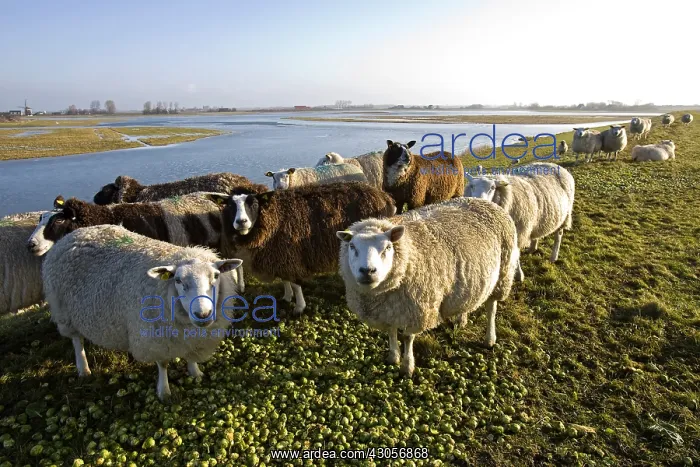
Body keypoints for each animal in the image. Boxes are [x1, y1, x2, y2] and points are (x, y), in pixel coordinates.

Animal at [42, 224, 243, 401]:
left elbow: (191, 355)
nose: (203, 314)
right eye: (178, 280)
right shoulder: (155, 338)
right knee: (77, 341)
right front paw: (164, 391)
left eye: (216, 276)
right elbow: (163, 364)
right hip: (64, 312)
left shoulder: (193, 338)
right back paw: (83, 368)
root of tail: (75, 233)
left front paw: (195, 372)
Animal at [206, 182, 396, 315]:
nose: (241, 222)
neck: (275, 216)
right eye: (230, 206)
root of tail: (384, 197)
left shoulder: (290, 255)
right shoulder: (280, 255)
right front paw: (286, 297)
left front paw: (299, 307)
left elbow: (296, 283)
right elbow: (285, 279)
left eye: (253, 204)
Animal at [336, 197, 520, 376]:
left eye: (388, 247)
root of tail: (485, 202)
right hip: (473, 280)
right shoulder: (390, 309)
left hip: (503, 275)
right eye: (352, 246)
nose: (367, 271)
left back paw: (490, 339)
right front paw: (393, 357)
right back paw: (461, 319)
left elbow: (407, 338)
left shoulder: (417, 309)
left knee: (491, 308)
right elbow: (391, 331)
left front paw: (407, 367)